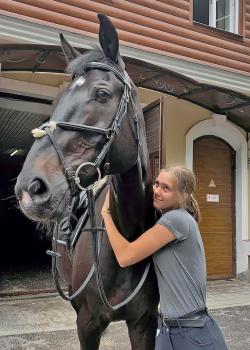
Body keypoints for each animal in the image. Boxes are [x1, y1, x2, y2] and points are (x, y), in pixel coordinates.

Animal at [15, 14, 159, 350]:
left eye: (102, 94)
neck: (128, 239)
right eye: (57, 99)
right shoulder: (87, 324)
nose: (30, 188)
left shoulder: (144, 324)